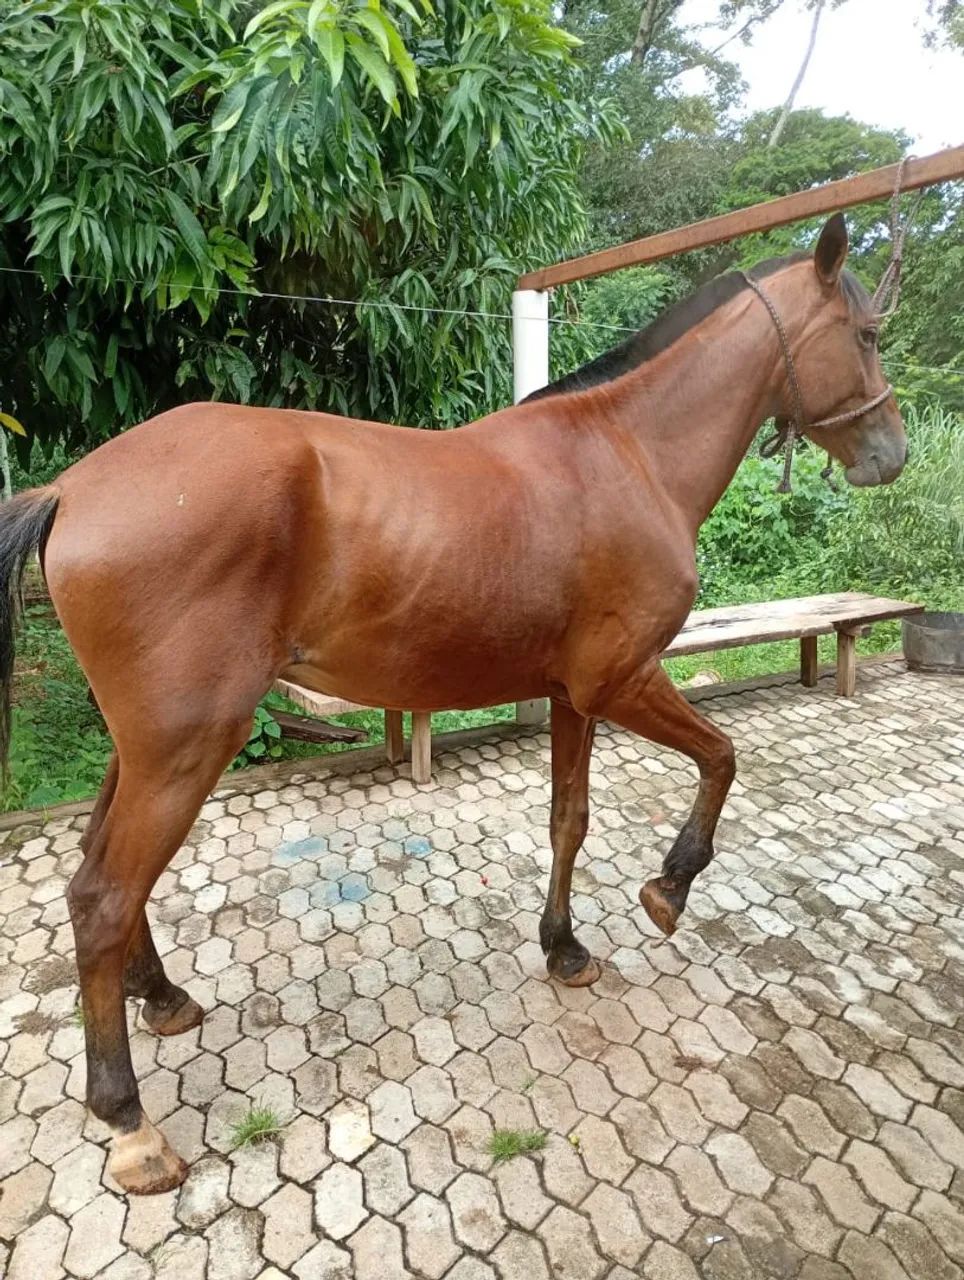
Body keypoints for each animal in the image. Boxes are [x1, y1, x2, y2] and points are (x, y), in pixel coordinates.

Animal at [0, 214, 906, 1194]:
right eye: (866, 335)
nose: (892, 452)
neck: (626, 454)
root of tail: (71, 488)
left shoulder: (572, 697)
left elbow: (568, 819)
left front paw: (563, 947)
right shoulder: (623, 680)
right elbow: (723, 756)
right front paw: (668, 888)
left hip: (144, 746)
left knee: (101, 873)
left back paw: (162, 997)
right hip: (185, 749)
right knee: (104, 897)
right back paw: (130, 1123)